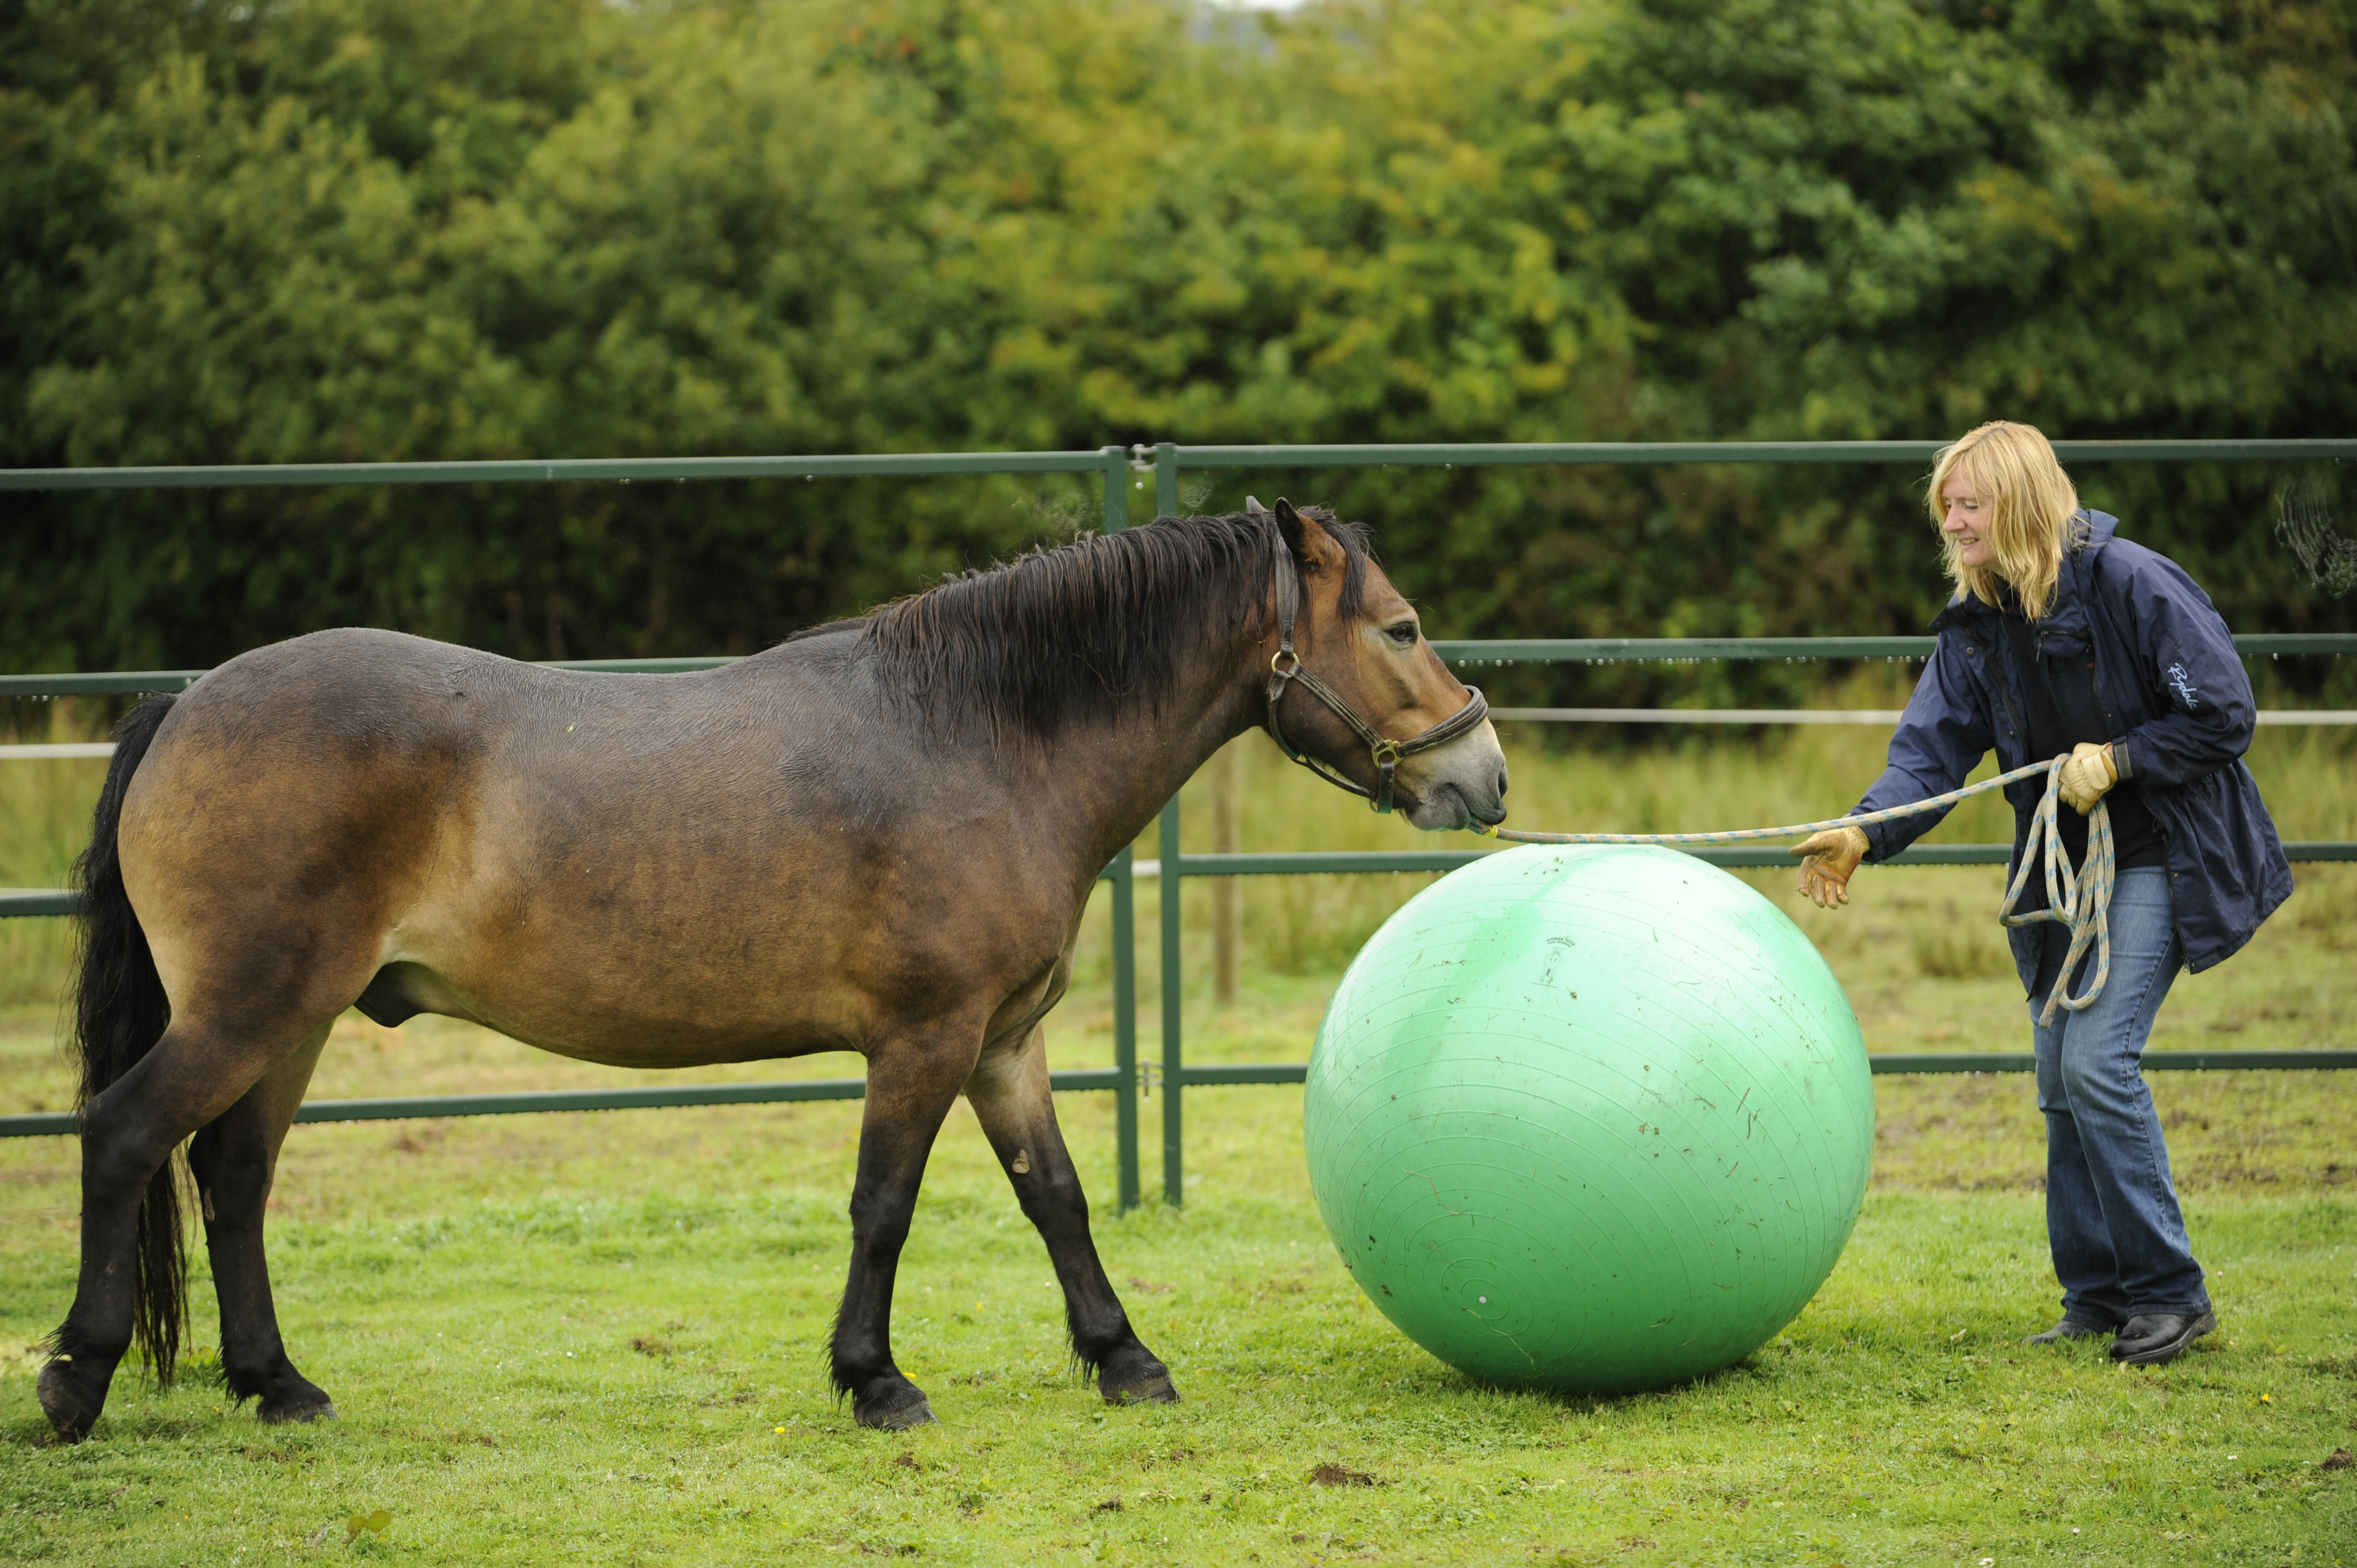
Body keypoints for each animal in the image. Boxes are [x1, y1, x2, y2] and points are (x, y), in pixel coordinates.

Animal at [42, 495, 1508, 1433]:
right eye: (1399, 627)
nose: (1483, 775)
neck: (981, 737)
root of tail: (189, 702)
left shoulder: (1003, 1042)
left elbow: (1058, 1198)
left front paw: (1123, 1358)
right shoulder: (922, 1040)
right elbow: (884, 1206)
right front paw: (876, 1381)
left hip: (292, 1019)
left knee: (233, 1176)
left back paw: (277, 1384)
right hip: (250, 1008)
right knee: (125, 1136)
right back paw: (76, 1379)